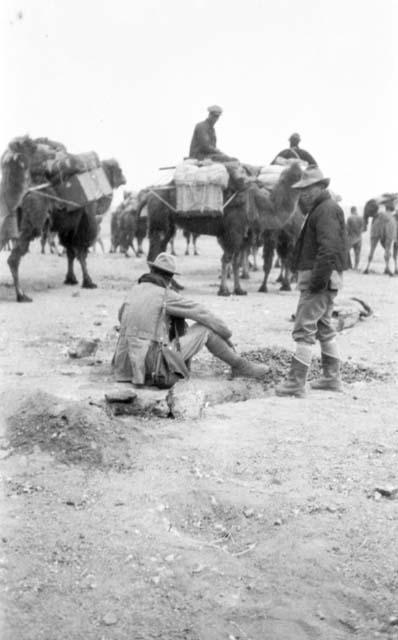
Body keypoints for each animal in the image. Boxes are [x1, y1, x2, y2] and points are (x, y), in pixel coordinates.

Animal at [135, 164, 304, 296]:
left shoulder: (243, 237)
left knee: (161, 249)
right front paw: (224, 291)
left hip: (168, 224)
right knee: (155, 250)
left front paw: (239, 290)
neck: (259, 204)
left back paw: (176, 284)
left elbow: (236, 262)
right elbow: (226, 260)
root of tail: (149, 194)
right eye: (296, 174)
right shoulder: (233, 233)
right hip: (159, 218)